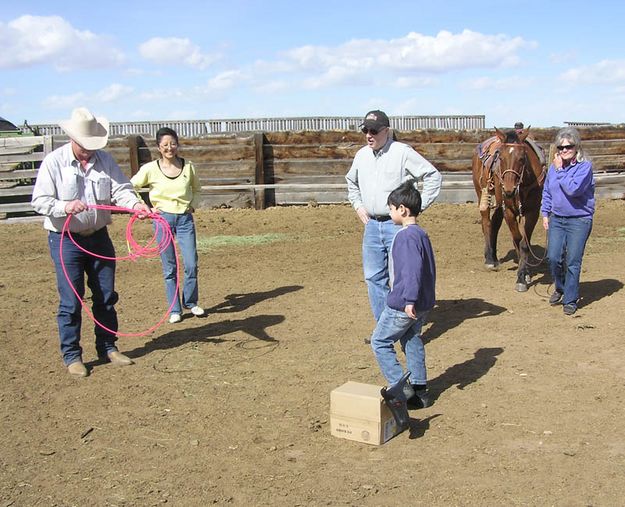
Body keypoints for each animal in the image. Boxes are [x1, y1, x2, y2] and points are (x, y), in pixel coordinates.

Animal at [470, 129, 544, 292]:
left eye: (522, 158)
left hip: (499, 203)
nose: (509, 190)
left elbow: (525, 243)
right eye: (501, 158)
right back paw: (490, 260)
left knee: (495, 224)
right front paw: (521, 276)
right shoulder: (509, 210)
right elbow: (517, 240)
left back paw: (494, 257)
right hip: (482, 192)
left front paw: (525, 273)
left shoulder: (533, 211)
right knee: (486, 223)